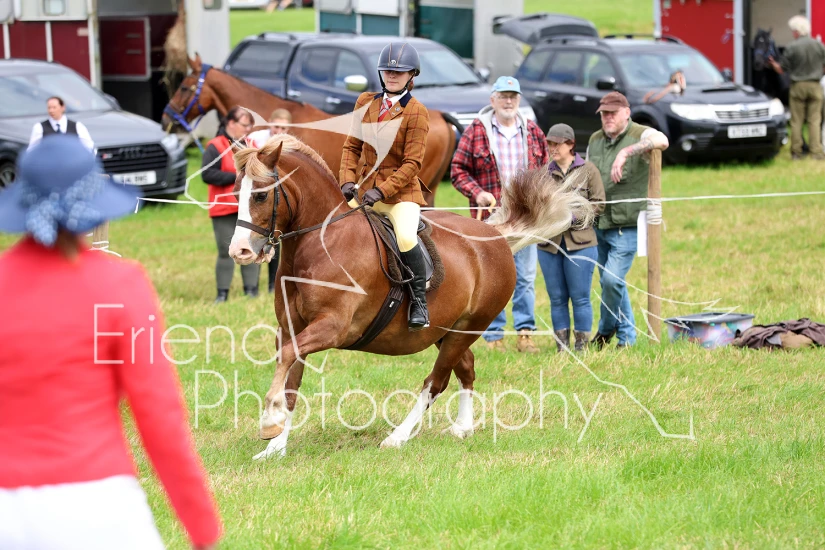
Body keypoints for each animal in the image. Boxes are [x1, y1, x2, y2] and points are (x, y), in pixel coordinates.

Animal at [226, 134, 594, 459]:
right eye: (235, 192)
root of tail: (494, 237)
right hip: (446, 330)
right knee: (466, 368)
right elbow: (291, 378)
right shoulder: (291, 327)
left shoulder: (333, 327)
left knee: (436, 381)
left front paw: (269, 422)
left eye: (260, 196)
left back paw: (397, 437)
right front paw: (275, 445)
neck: (322, 242)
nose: (239, 251)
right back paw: (462, 428)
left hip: (467, 328)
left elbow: (288, 358)